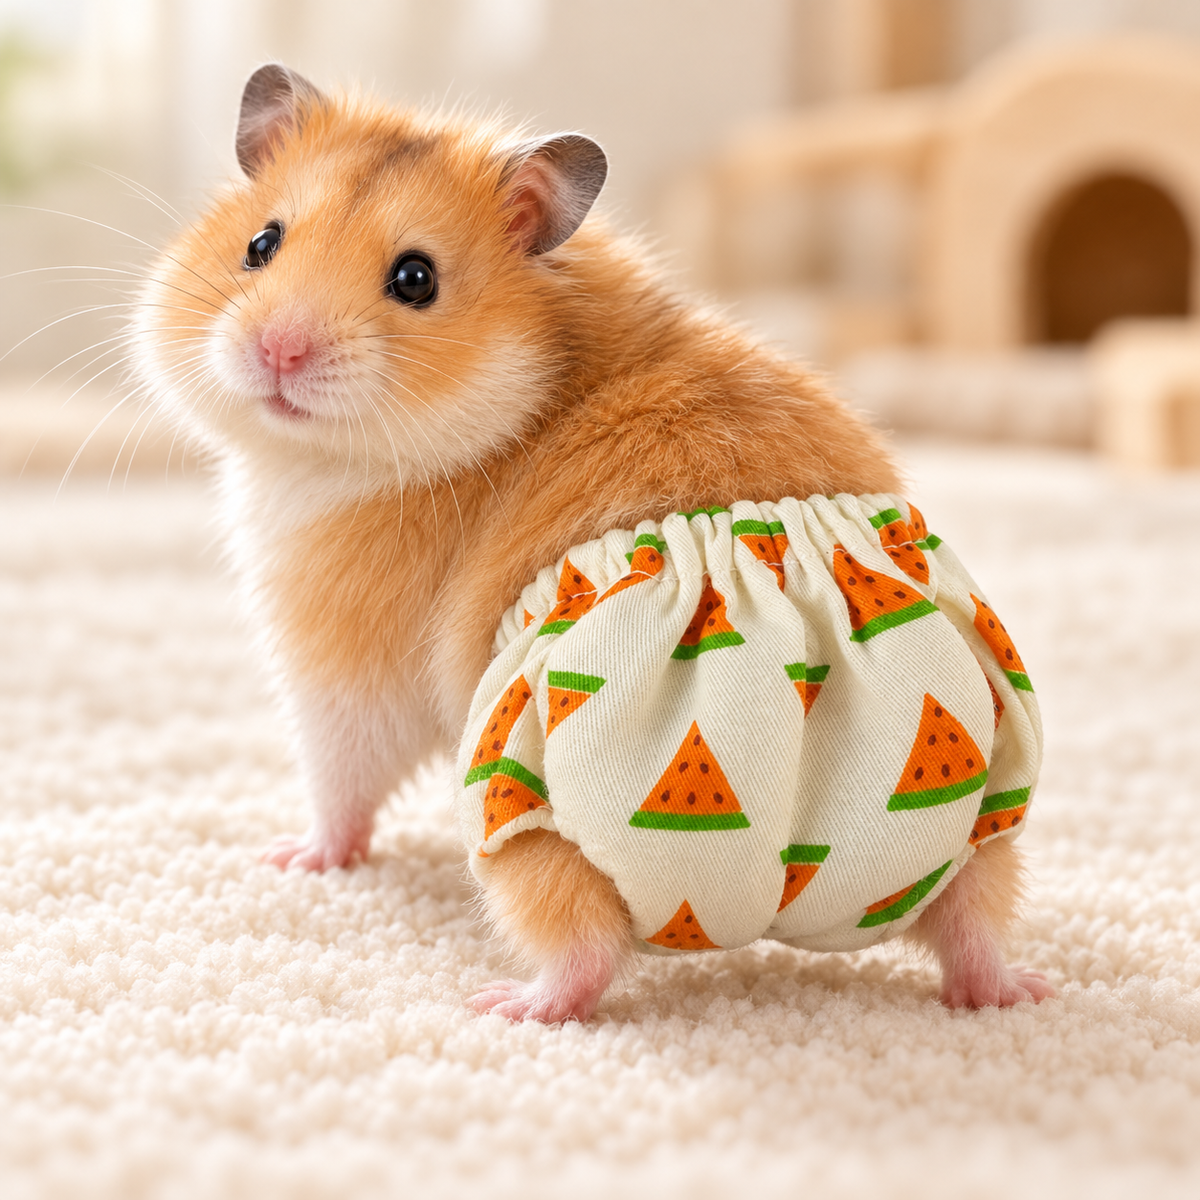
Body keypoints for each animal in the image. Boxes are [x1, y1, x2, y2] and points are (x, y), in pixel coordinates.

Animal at [134, 64, 1053, 1022]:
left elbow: (338, 775)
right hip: (984, 827)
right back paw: (1021, 992)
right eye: (260, 243)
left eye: (416, 278)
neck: (531, 389)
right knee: (972, 924)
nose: (276, 351)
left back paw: (507, 1003)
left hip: (520, 808)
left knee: (578, 945)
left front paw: (294, 857)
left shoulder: (346, 661)